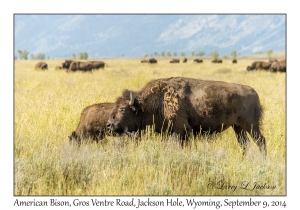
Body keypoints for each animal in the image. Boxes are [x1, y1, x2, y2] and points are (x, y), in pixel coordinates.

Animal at [106, 76, 266, 157]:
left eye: (122, 109)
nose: (109, 125)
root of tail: (254, 93)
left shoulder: (180, 130)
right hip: (238, 128)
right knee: (244, 144)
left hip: (251, 126)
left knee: (261, 141)